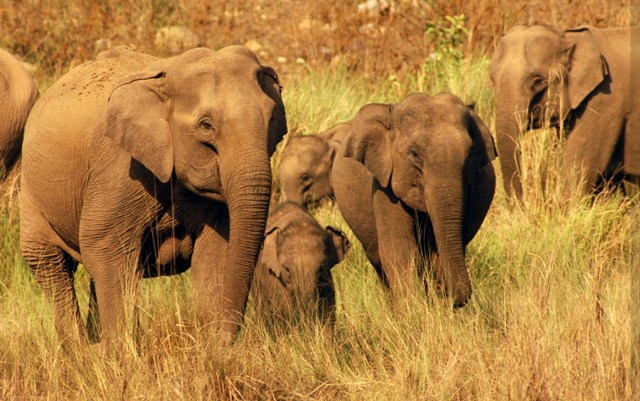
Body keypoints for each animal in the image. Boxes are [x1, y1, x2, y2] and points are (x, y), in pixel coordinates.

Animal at [19, 44, 287, 343]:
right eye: (206, 126)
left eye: (272, 119)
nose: (224, 339)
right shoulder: (119, 166)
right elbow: (103, 243)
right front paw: (121, 351)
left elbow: (218, 250)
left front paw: (210, 343)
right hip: (30, 190)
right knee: (49, 263)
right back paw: (79, 349)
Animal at [332, 93, 497, 306]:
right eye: (414, 154)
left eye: (469, 154)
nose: (454, 299)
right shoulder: (385, 183)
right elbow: (398, 249)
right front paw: (413, 309)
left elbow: (440, 250)